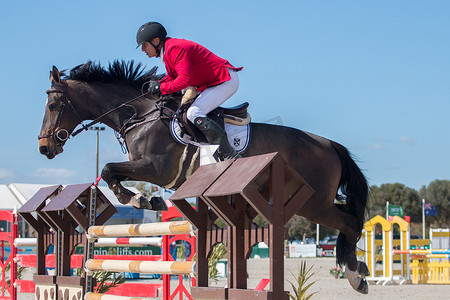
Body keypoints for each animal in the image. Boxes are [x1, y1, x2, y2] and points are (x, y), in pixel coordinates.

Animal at [37, 60, 370, 292]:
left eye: (53, 105)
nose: (45, 148)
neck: (141, 116)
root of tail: (329, 144)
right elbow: (110, 171)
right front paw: (145, 200)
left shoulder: (157, 169)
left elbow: (108, 169)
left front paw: (140, 199)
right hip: (301, 200)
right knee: (349, 220)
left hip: (313, 204)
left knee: (350, 222)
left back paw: (356, 276)